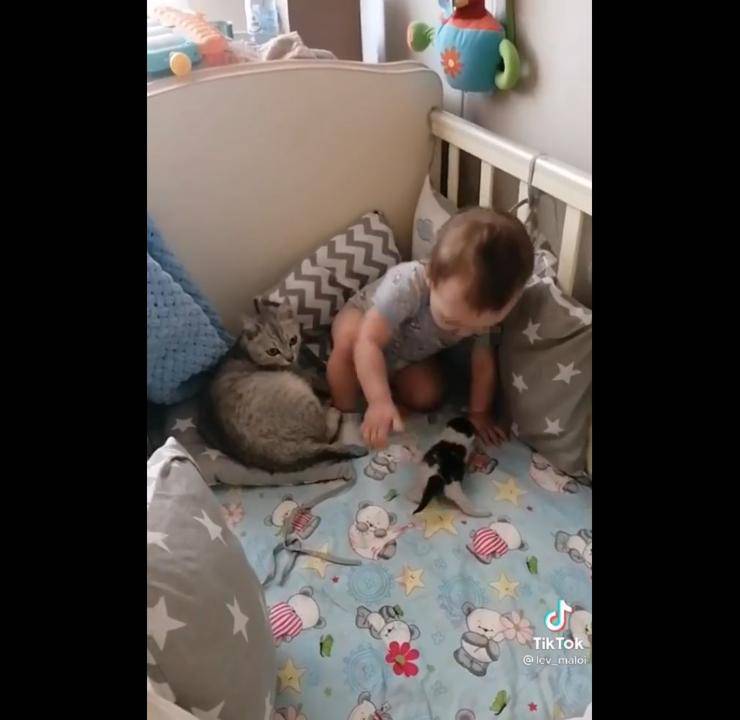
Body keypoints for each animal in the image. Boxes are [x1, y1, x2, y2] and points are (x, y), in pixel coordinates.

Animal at [198, 298, 367, 472]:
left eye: (293, 340)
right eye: (272, 351)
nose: (290, 357)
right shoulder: (301, 374)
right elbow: (319, 379)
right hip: (297, 391)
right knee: (324, 434)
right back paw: (332, 410)